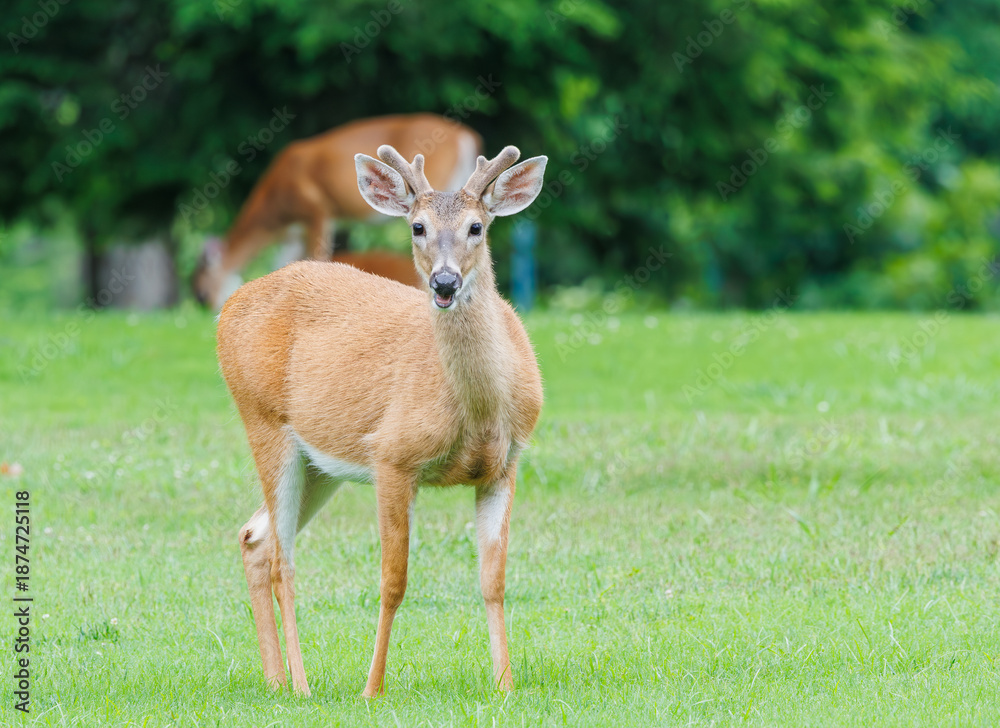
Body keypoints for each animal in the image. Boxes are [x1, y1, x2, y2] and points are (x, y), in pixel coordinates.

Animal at [193, 113, 482, 308]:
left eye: (203, 291)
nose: (211, 308)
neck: (277, 207)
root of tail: (468, 137)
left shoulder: (318, 209)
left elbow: (318, 256)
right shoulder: (293, 234)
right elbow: (283, 263)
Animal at [216, 143, 547, 698]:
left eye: (477, 227)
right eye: (417, 226)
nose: (443, 282)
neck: (478, 412)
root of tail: (228, 306)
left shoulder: (505, 465)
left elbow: (494, 580)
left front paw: (505, 685)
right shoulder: (393, 455)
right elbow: (394, 581)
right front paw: (372, 689)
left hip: (320, 463)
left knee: (254, 537)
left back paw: (275, 681)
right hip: (263, 419)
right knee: (283, 560)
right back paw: (302, 685)